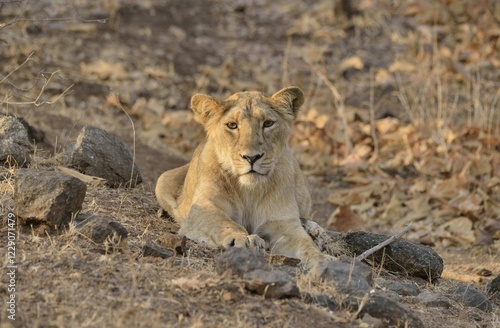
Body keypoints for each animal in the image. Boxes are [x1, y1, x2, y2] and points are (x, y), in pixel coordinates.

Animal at [155, 86, 336, 266]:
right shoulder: (203, 209)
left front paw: (323, 259)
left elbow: (305, 244)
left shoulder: (282, 223)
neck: (249, 191)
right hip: (163, 180)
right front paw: (246, 239)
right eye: (232, 125)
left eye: (268, 123)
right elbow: (225, 223)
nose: (252, 157)